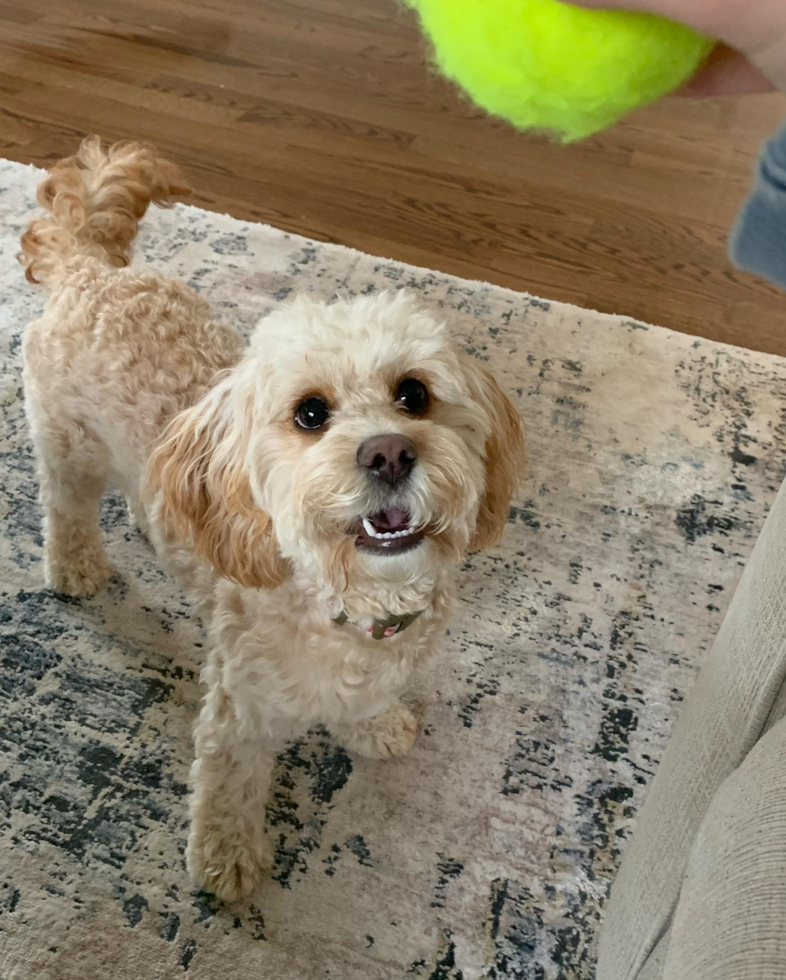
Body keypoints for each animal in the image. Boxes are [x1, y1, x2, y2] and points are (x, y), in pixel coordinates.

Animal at [21, 138, 528, 904]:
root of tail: (90, 271)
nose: (388, 452)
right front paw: (227, 863)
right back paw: (77, 567)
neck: (351, 603)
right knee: (66, 508)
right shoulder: (240, 711)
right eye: (310, 413)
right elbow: (230, 787)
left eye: (414, 394)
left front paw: (376, 724)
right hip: (67, 448)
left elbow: (370, 701)